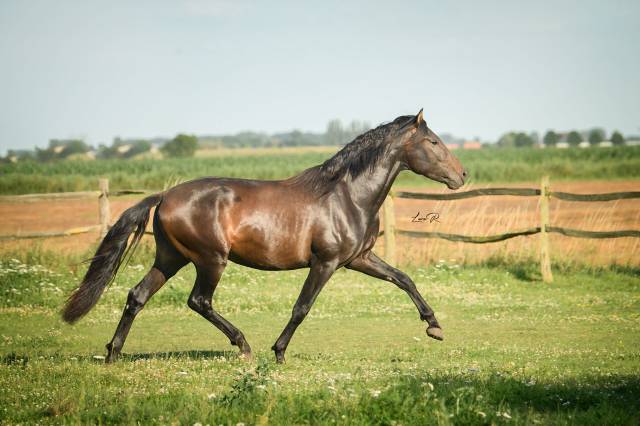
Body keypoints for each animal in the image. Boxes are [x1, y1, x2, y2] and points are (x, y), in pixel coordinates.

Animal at [62, 110, 468, 362]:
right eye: (433, 142)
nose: (462, 175)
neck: (347, 195)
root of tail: (163, 196)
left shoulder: (359, 259)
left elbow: (403, 279)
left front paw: (434, 327)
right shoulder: (326, 262)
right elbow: (302, 307)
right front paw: (279, 351)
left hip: (171, 258)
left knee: (137, 296)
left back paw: (113, 353)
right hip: (210, 260)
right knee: (199, 301)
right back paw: (243, 345)